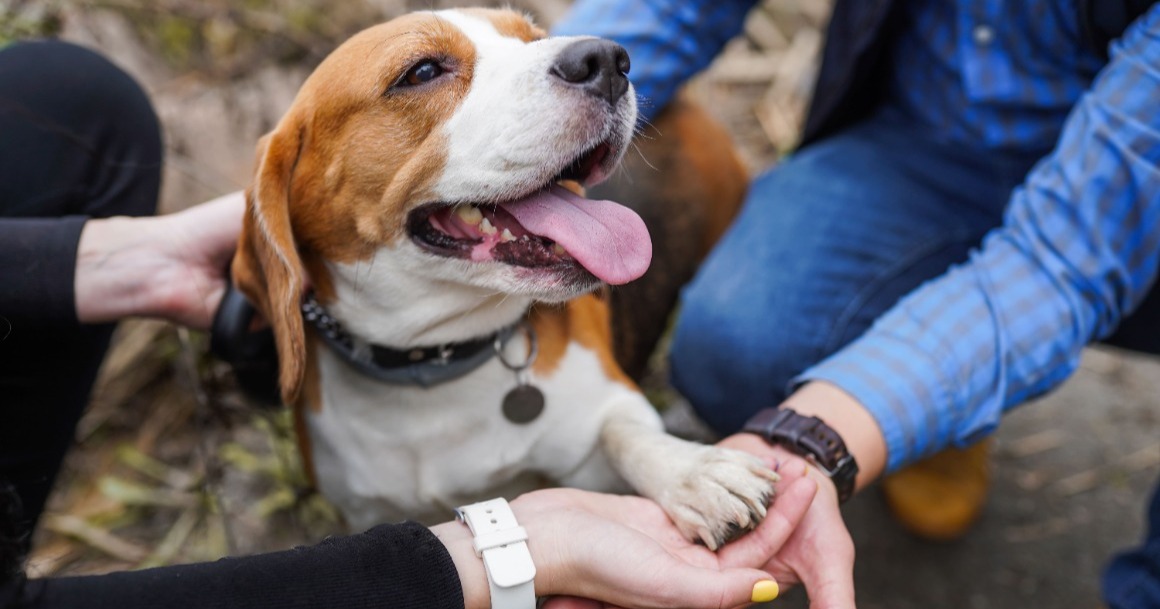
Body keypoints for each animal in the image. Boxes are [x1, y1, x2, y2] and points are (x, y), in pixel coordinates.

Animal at [230, 5, 774, 545]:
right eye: (421, 72)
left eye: (533, 38)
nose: (608, 60)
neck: (432, 365)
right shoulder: (362, 511)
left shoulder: (605, 414)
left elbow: (624, 433)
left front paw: (695, 473)